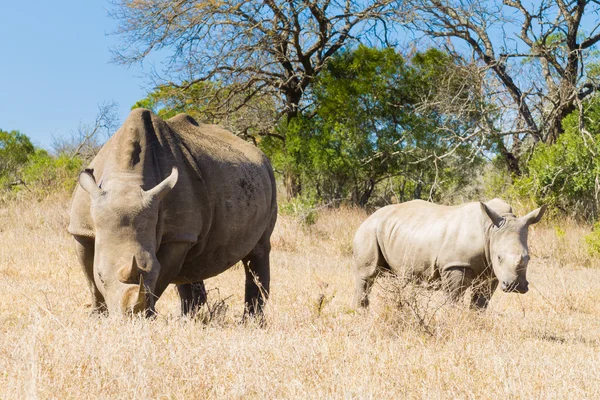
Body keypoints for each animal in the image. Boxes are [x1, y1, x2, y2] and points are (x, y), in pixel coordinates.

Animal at [69, 108, 278, 318]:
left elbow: (161, 277)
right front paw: (97, 316)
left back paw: (250, 321)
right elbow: (90, 280)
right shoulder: (81, 229)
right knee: (191, 269)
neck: (126, 180)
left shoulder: (178, 235)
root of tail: (263, 157)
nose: (130, 316)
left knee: (259, 250)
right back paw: (189, 319)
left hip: (268, 179)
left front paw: (149, 315)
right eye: (102, 276)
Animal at [354, 199, 548, 310]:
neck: (490, 230)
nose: (516, 286)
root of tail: (370, 216)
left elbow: (481, 302)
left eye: (529, 258)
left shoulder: (491, 273)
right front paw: (453, 322)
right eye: (499, 257)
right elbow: (453, 298)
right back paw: (362, 314)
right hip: (369, 230)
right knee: (367, 275)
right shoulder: (455, 264)